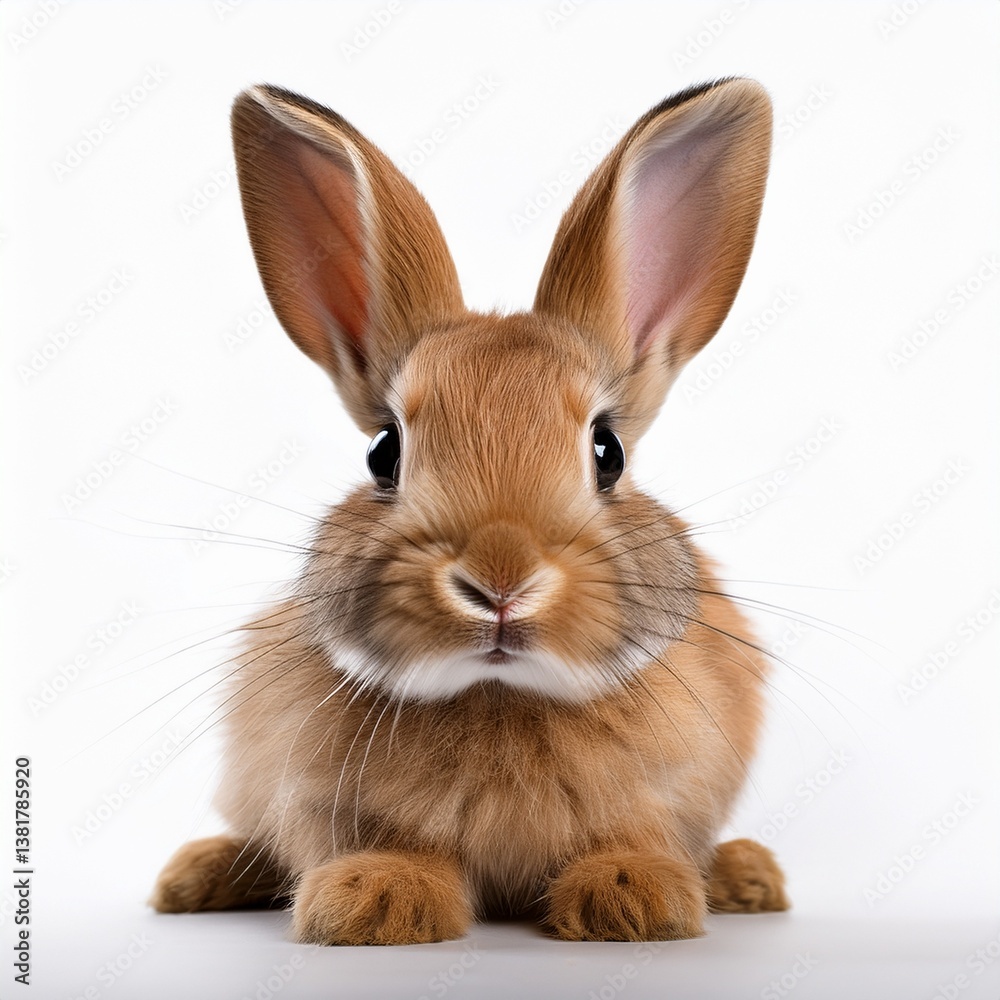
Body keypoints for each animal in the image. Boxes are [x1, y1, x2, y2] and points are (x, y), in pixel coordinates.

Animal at [150, 77, 789, 945]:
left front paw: (634, 896)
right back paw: (194, 876)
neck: (500, 694)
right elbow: (376, 844)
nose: (499, 582)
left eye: (608, 452)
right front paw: (374, 901)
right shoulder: (318, 795)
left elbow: (638, 837)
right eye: (384, 452)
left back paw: (749, 877)